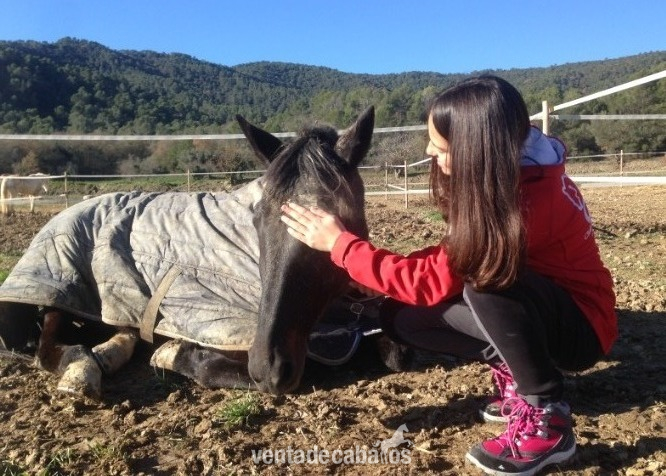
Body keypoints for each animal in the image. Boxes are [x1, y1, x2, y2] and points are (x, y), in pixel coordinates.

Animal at [0, 107, 411, 399]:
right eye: (258, 217)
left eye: (335, 220)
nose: (269, 368)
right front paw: (172, 353)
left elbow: (394, 350)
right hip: (61, 284)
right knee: (50, 339)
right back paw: (82, 370)